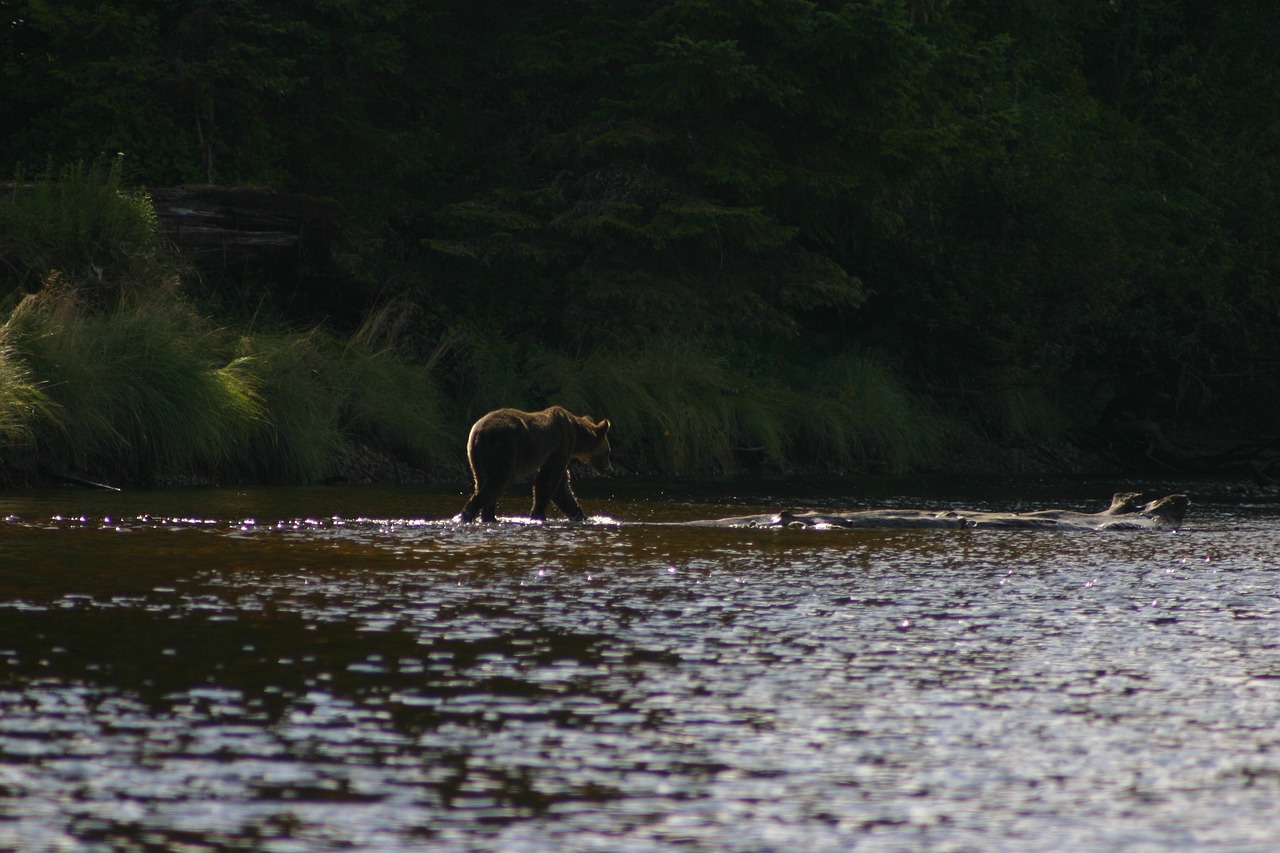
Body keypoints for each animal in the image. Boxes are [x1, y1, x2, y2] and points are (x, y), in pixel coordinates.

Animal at [460, 404, 614, 517]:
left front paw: (579, 514)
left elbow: (562, 486)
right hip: (506, 448)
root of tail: (479, 432)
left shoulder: (555, 453)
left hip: (477, 456)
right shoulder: (561, 446)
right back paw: (468, 514)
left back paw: (488, 516)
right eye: (608, 452)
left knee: (482, 482)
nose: (609, 470)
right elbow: (549, 481)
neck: (577, 437)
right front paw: (538, 513)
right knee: (499, 482)